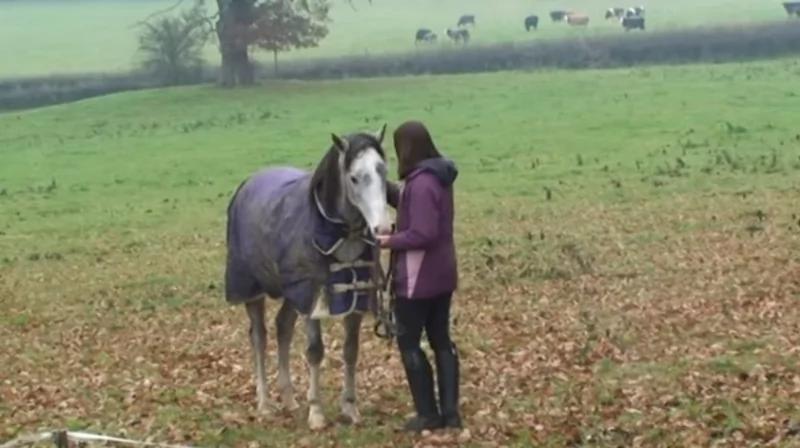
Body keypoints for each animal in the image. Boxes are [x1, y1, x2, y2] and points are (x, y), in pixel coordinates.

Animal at [224, 126, 391, 430]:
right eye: (354, 177)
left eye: (383, 170)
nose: (383, 229)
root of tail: (248, 183)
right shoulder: (312, 299)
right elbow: (315, 352)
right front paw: (317, 413)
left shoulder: (352, 300)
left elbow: (351, 351)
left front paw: (350, 408)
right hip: (253, 290)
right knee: (259, 337)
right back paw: (264, 403)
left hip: (292, 295)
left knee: (283, 327)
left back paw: (289, 399)